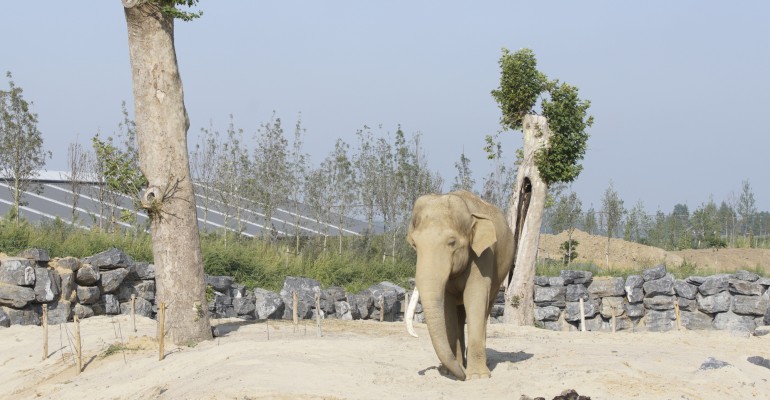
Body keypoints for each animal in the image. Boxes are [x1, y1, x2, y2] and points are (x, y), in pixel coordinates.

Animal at [404, 191, 512, 382]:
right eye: (415, 244)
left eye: (452, 242)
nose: (461, 375)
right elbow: (447, 307)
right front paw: (451, 371)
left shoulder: (483, 255)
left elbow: (474, 298)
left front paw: (477, 376)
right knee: (460, 314)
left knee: (485, 309)